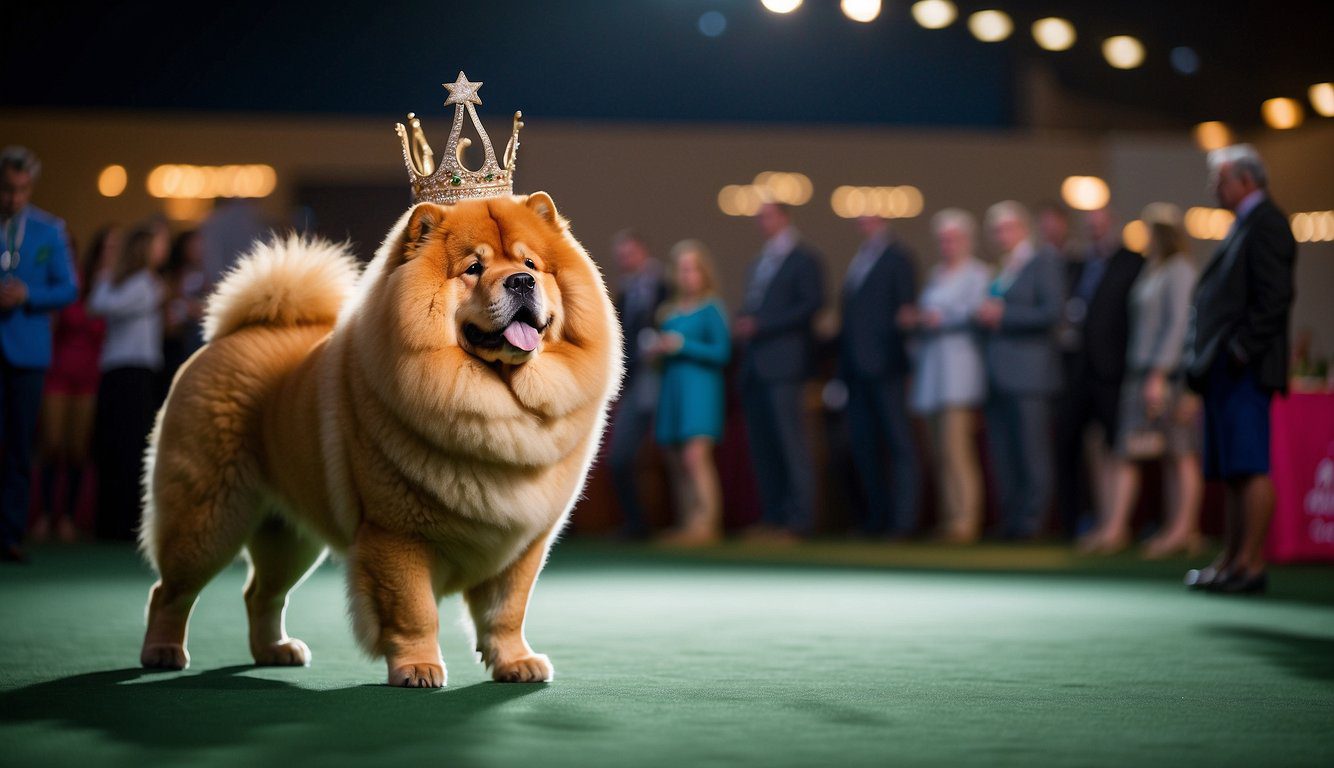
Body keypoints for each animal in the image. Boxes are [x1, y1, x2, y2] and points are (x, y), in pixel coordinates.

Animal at [140, 194, 618, 688]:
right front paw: (418, 668)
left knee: (261, 594)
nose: (522, 281)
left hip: (288, 538)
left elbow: (506, 612)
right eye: (473, 268)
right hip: (208, 521)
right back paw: (163, 652)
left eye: (530, 264)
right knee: (170, 591)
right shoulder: (396, 535)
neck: (495, 404)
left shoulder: (521, 545)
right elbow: (414, 610)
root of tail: (232, 336)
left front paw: (515, 663)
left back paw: (276, 651)